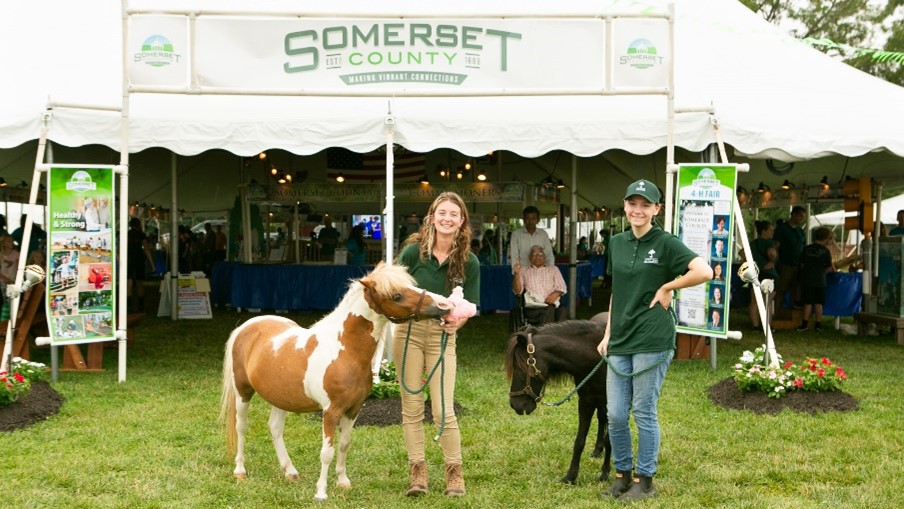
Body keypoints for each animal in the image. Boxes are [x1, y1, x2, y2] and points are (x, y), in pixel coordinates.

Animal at [220, 262, 452, 500]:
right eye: (396, 295)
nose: (444, 306)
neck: (345, 350)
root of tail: (246, 327)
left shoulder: (353, 410)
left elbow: (344, 445)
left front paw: (343, 482)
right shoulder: (330, 412)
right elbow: (327, 452)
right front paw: (321, 492)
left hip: (281, 397)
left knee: (275, 428)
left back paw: (290, 472)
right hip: (243, 392)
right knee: (241, 427)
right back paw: (240, 471)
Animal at [504, 320, 612, 482]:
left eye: (519, 366)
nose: (514, 404)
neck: (597, 358)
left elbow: (610, 440)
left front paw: (605, 473)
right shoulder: (586, 401)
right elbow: (579, 441)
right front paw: (570, 476)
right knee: (601, 419)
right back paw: (597, 450)